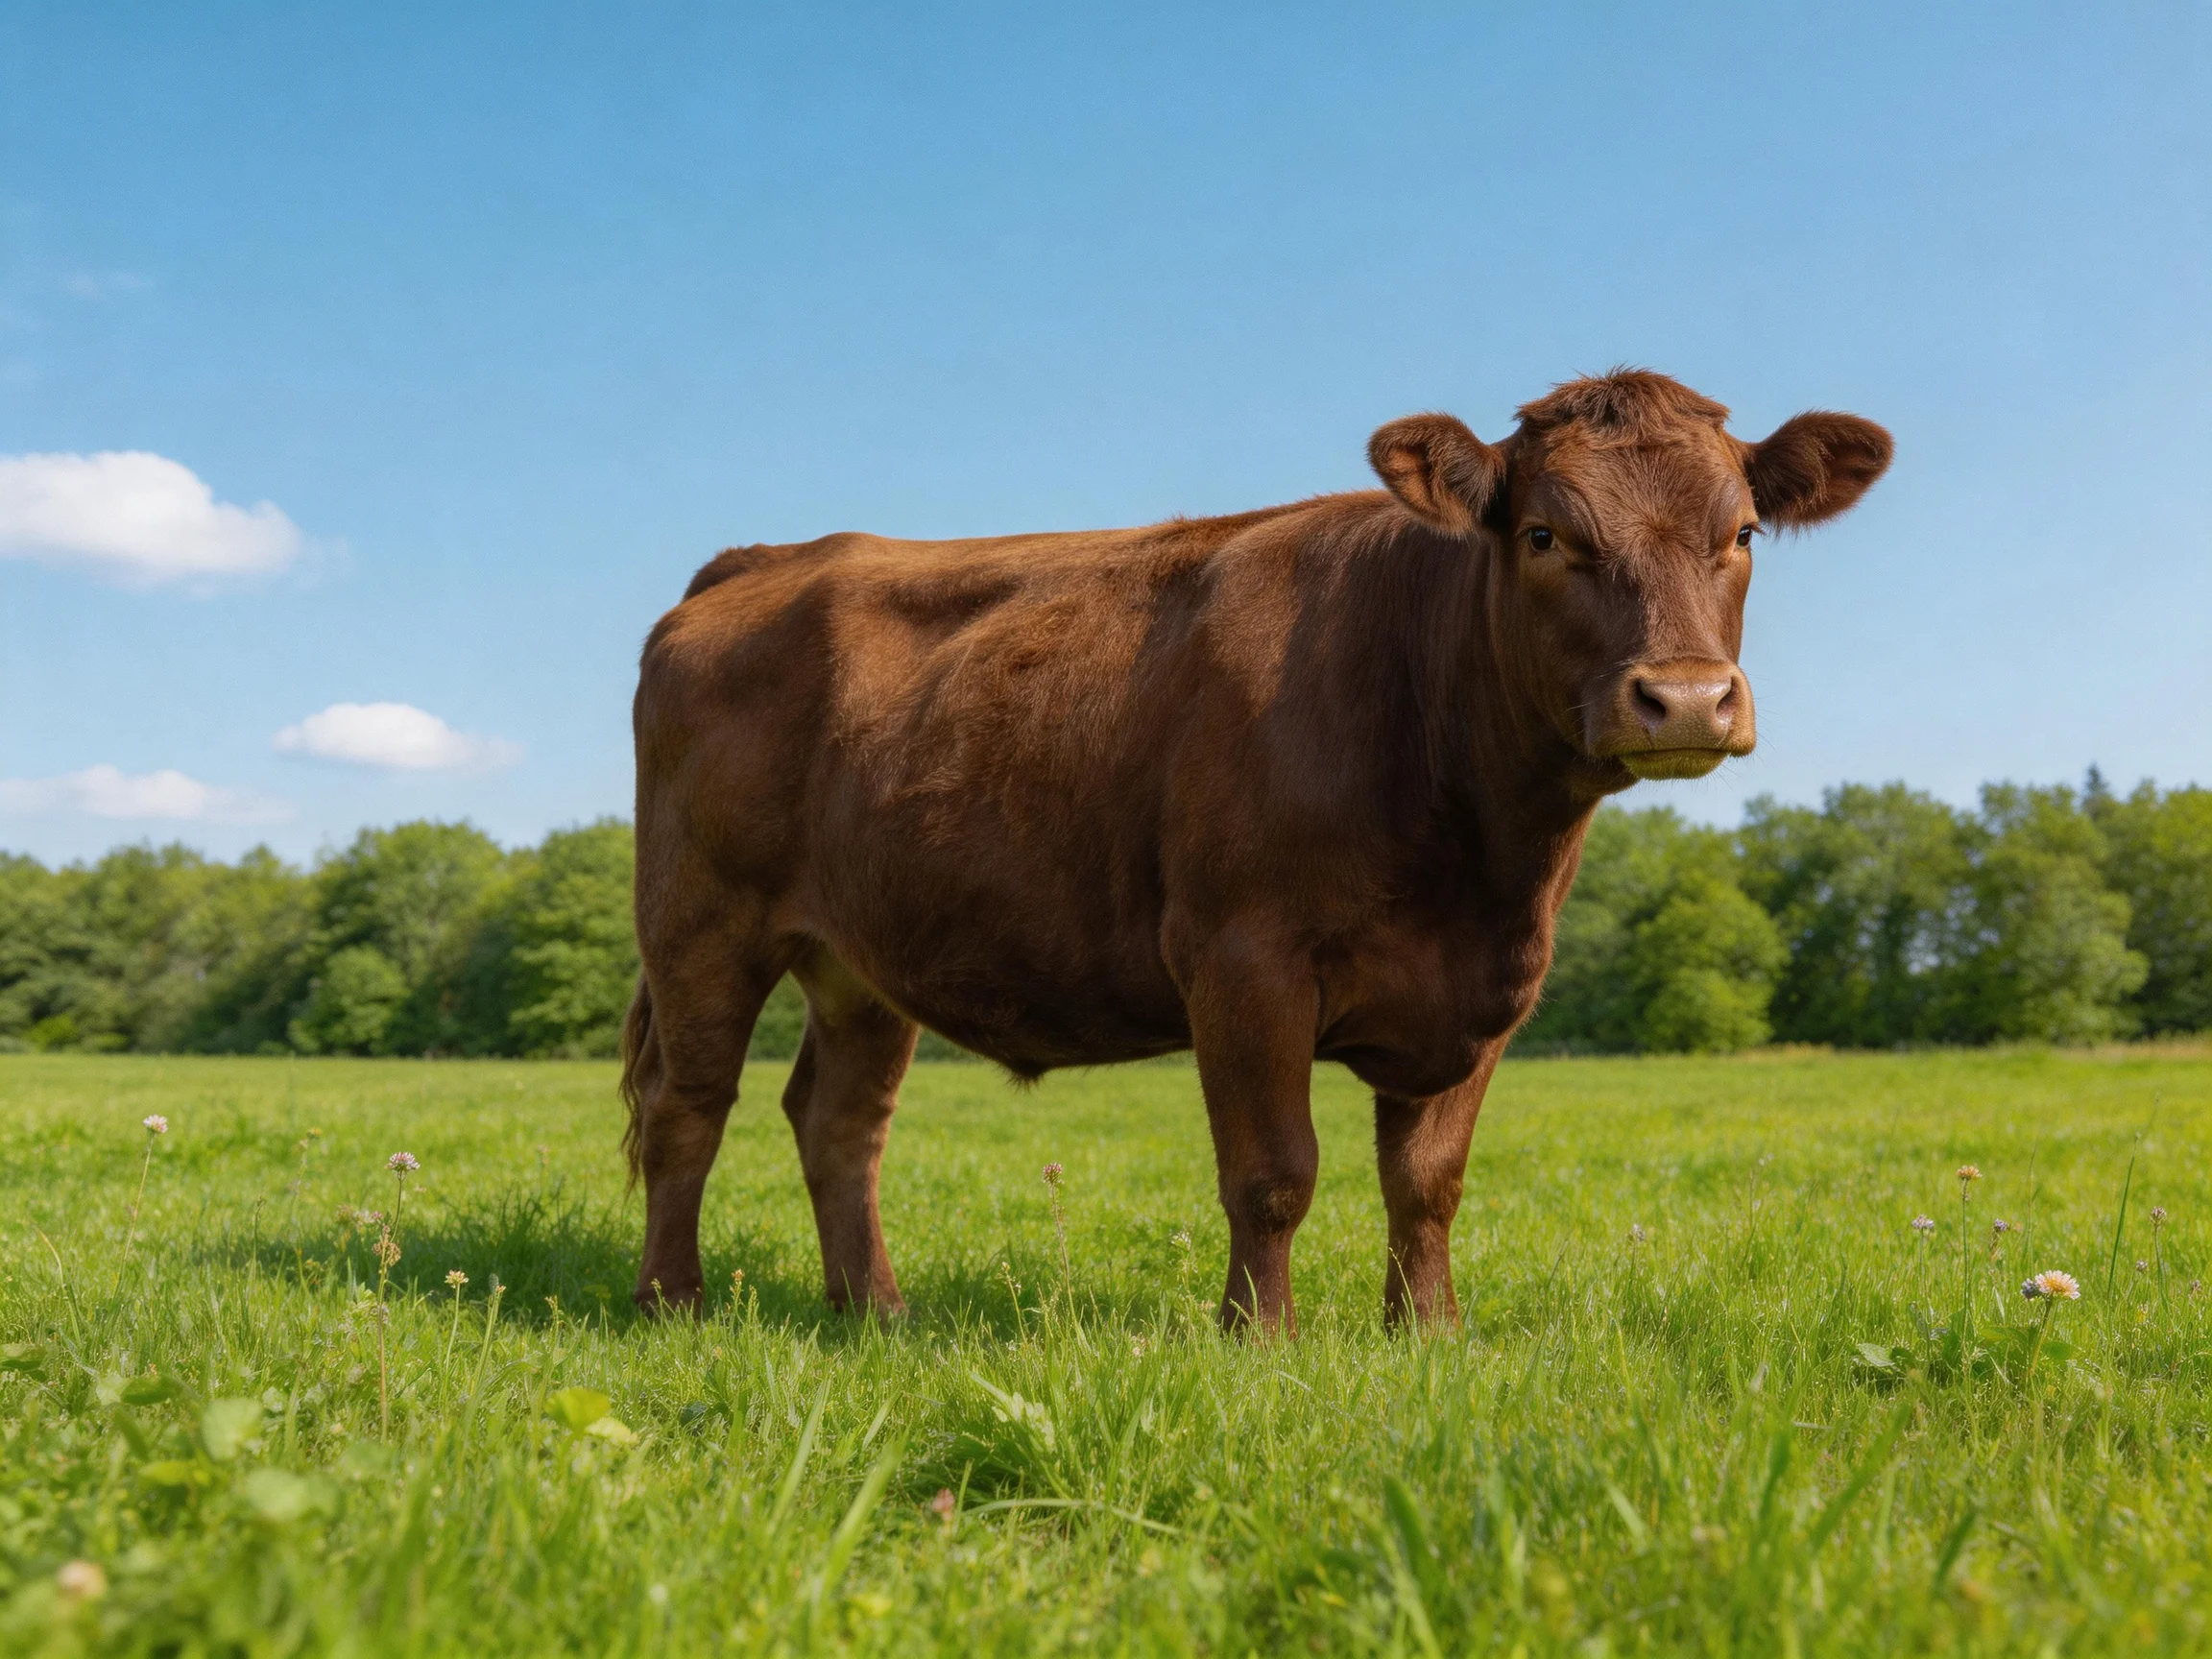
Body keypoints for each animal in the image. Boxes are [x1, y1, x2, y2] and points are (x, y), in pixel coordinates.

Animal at [620, 369, 1890, 1332]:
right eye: (1544, 534)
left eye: (1742, 533)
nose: (1685, 698)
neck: (1482, 856)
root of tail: (767, 558)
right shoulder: (1241, 957)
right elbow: (1275, 1172)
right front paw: (1261, 1340)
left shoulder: (1492, 988)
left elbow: (1428, 1182)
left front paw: (1429, 1336)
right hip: (700, 918)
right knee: (692, 1104)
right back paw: (674, 1303)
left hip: (863, 957)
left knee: (839, 1122)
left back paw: (874, 1312)